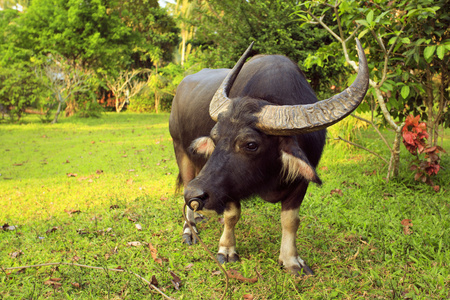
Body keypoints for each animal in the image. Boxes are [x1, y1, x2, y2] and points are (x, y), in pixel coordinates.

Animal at [170, 40, 370, 276]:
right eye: (215, 137)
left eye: (251, 144)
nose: (194, 194)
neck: (268, 176)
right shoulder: (229, 185)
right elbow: (232, 214)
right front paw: (227, 249)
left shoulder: (300, 181)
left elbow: (291, 220)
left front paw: (291, 260)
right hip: (180, 150)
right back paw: (190, 228)